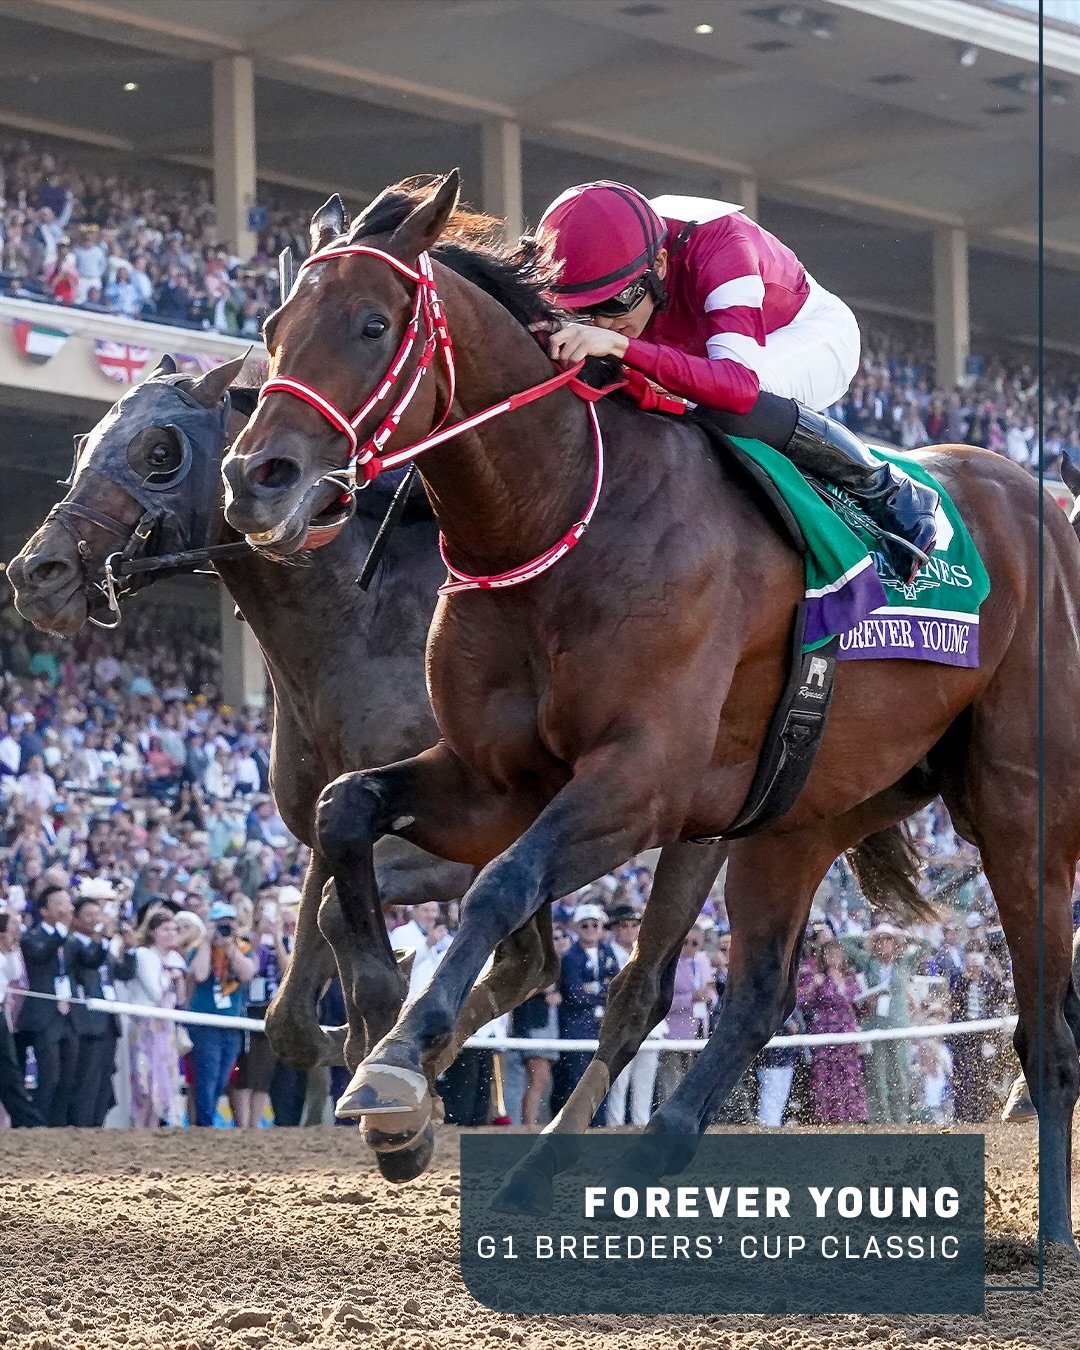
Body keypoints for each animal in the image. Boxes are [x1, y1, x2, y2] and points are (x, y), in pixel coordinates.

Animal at [220, 169, 1080, 1249]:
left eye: (373, 324)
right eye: (274, 323)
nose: (256, 478)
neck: (554, 517)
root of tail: (1042, 498)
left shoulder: (638, 780)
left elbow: (502, 884)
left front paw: (397, 1065)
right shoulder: (494, 778)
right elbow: (347, 811)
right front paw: (382, 1030)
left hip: (1020, 811)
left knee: (1045, 1029)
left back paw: (1052, 1230)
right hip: (796, 814)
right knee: (747, 995)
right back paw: (623, 1157)